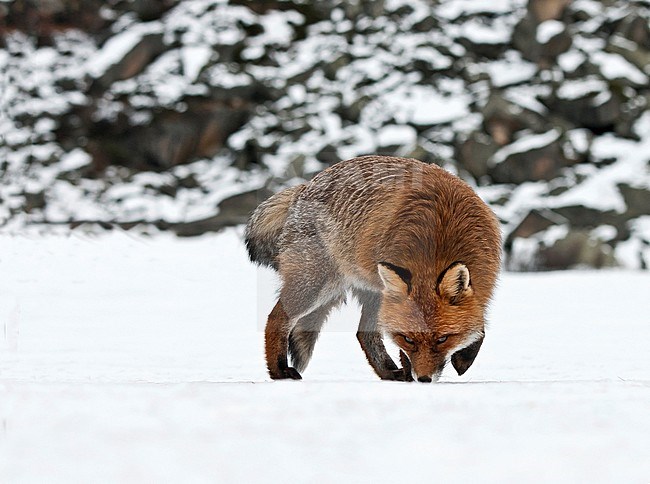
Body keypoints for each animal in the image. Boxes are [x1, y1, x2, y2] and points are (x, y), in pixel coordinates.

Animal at [244, 155, 502, 382]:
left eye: (442, 339)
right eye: (408, 339)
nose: (423, 379)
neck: (440, 233)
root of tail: (305, 187)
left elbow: (480, 323)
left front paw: (464, 357)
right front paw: (410, 372)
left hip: (369, 291)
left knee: (363, 334)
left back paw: (388, 372)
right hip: (315, 286)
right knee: (276, 318)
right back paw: (279, 371)